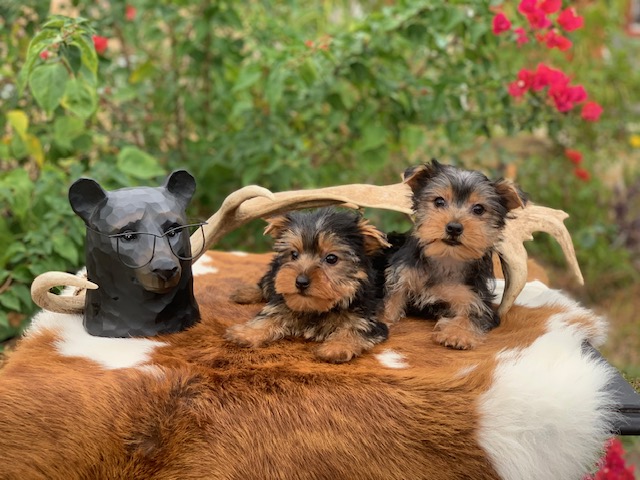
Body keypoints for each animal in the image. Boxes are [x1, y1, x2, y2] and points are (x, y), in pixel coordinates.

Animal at [222, 208, 392, 362]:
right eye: (294, 254)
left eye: (331, 258)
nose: (301, 282)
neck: (316, 308)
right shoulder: (281, 303)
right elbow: (268, 316)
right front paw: (245, 333)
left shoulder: (367, 318)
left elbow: (356, 328)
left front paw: (336, 348)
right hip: (275, 272)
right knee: (267, 284)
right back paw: (245, 293)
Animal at [382, 159, 528, 350]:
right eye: (439, 201)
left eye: (479, 209)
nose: (454, 227)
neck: (447, 258)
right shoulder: (400, 277)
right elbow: (388, 302)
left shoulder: (475, 298)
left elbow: (473, 316)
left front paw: (458, 334)